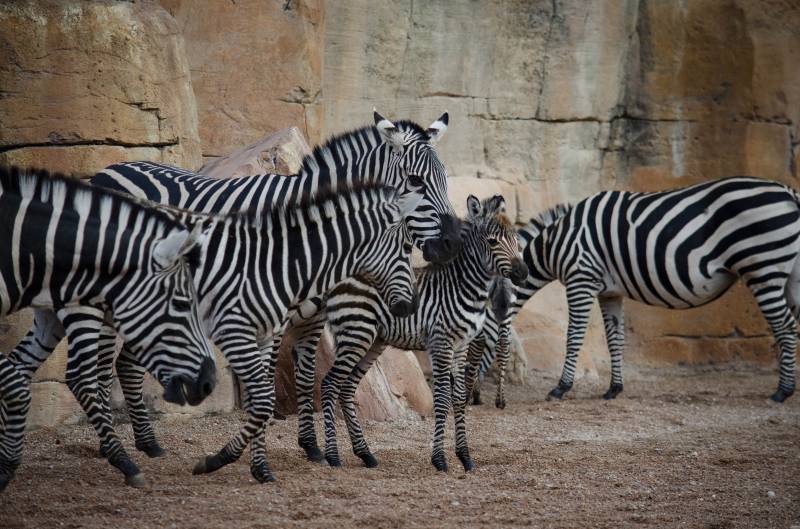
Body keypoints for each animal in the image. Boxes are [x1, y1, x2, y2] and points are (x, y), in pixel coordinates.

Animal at [12, 180, 422, 482]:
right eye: (406, 246)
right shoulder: (236, 331)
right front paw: (218, 460)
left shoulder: (262, 334)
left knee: (23, 368)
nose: (408, 307)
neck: (282, 262)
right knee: (80, 374)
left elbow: (261, 401)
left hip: (63, 314)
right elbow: (264, 400)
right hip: (85, 308)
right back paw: (123, 460)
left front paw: (259, 467)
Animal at [322, 194, 528, 470]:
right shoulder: (441, 342)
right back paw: (332, 456)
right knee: (330, 385)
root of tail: (343, 278)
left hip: (374, 340)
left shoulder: (460, 346)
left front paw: (465, 457)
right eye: (493, 241)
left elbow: (458, 396)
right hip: (357, 333)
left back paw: (366, 454)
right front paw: (439, 459)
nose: (522, 273)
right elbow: (441, 398)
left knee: (346, 388)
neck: (463, 287)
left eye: (516, 240)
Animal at [468, 175, 800, 402]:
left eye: (480, 339)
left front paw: (561, 387)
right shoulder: (609, 291)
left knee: (785, 327)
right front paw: (614, 388)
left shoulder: (581, 279)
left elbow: (574, 336)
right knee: (793, 325)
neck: (557, 244)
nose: (473, 398)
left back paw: (782, 392)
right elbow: (615, 339)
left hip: (763, 267)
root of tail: (787, 191)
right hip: (787, 274)